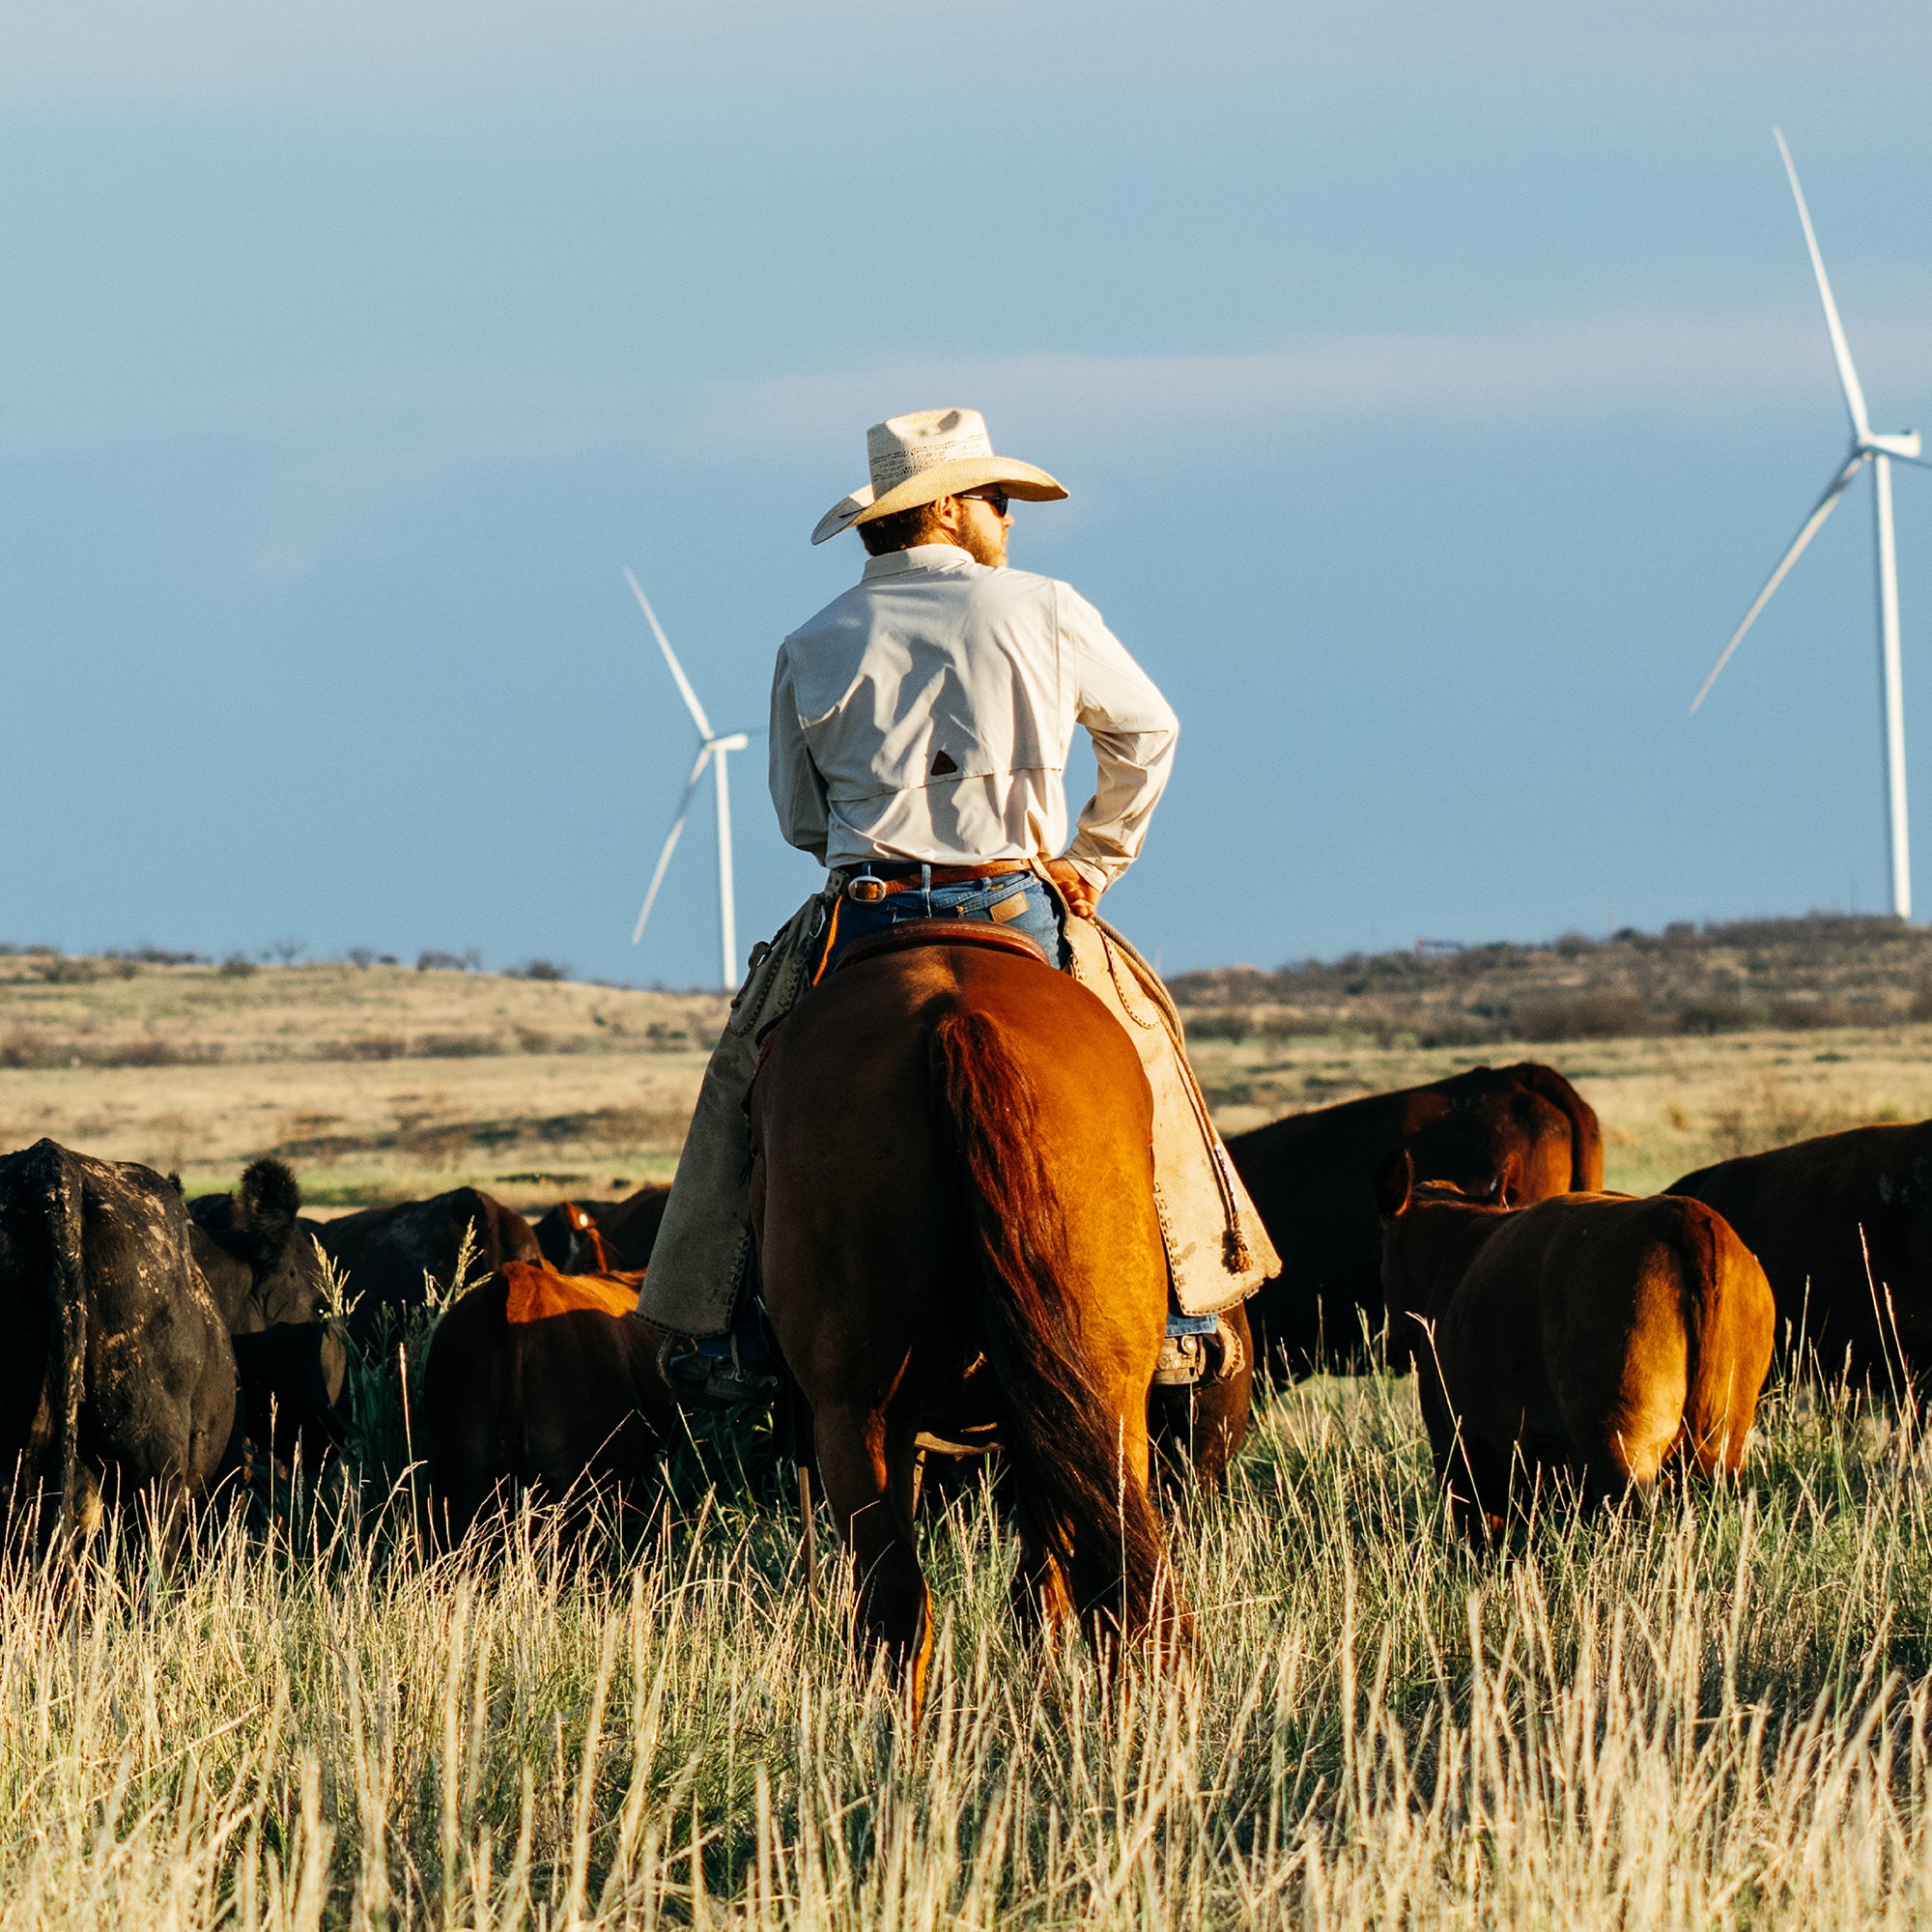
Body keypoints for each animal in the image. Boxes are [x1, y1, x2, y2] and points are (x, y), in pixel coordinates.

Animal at [750, 923, 1175, 1708]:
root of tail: (959, 1018)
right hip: (1105, 1398)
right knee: (1114, 1588)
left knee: (896, 1604)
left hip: (855, 1414)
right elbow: (1045, 1582)